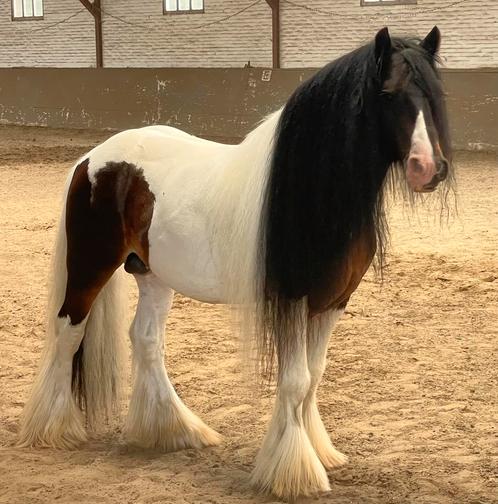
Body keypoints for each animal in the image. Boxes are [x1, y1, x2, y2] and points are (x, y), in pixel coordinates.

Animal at [18, 25, 452, 498]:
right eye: (388, 93)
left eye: (435, 93)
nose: (429, 169)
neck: (312, 191)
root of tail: (90, 159)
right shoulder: (292, 298)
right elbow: (296, 381)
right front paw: (294, 472)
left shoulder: (333, 303)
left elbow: (315, 375)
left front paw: (319, 453)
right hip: (89, 265)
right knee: (68, 332)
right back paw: (54, 429)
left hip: (153, 274)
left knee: (145, 339)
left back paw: (174, 430)